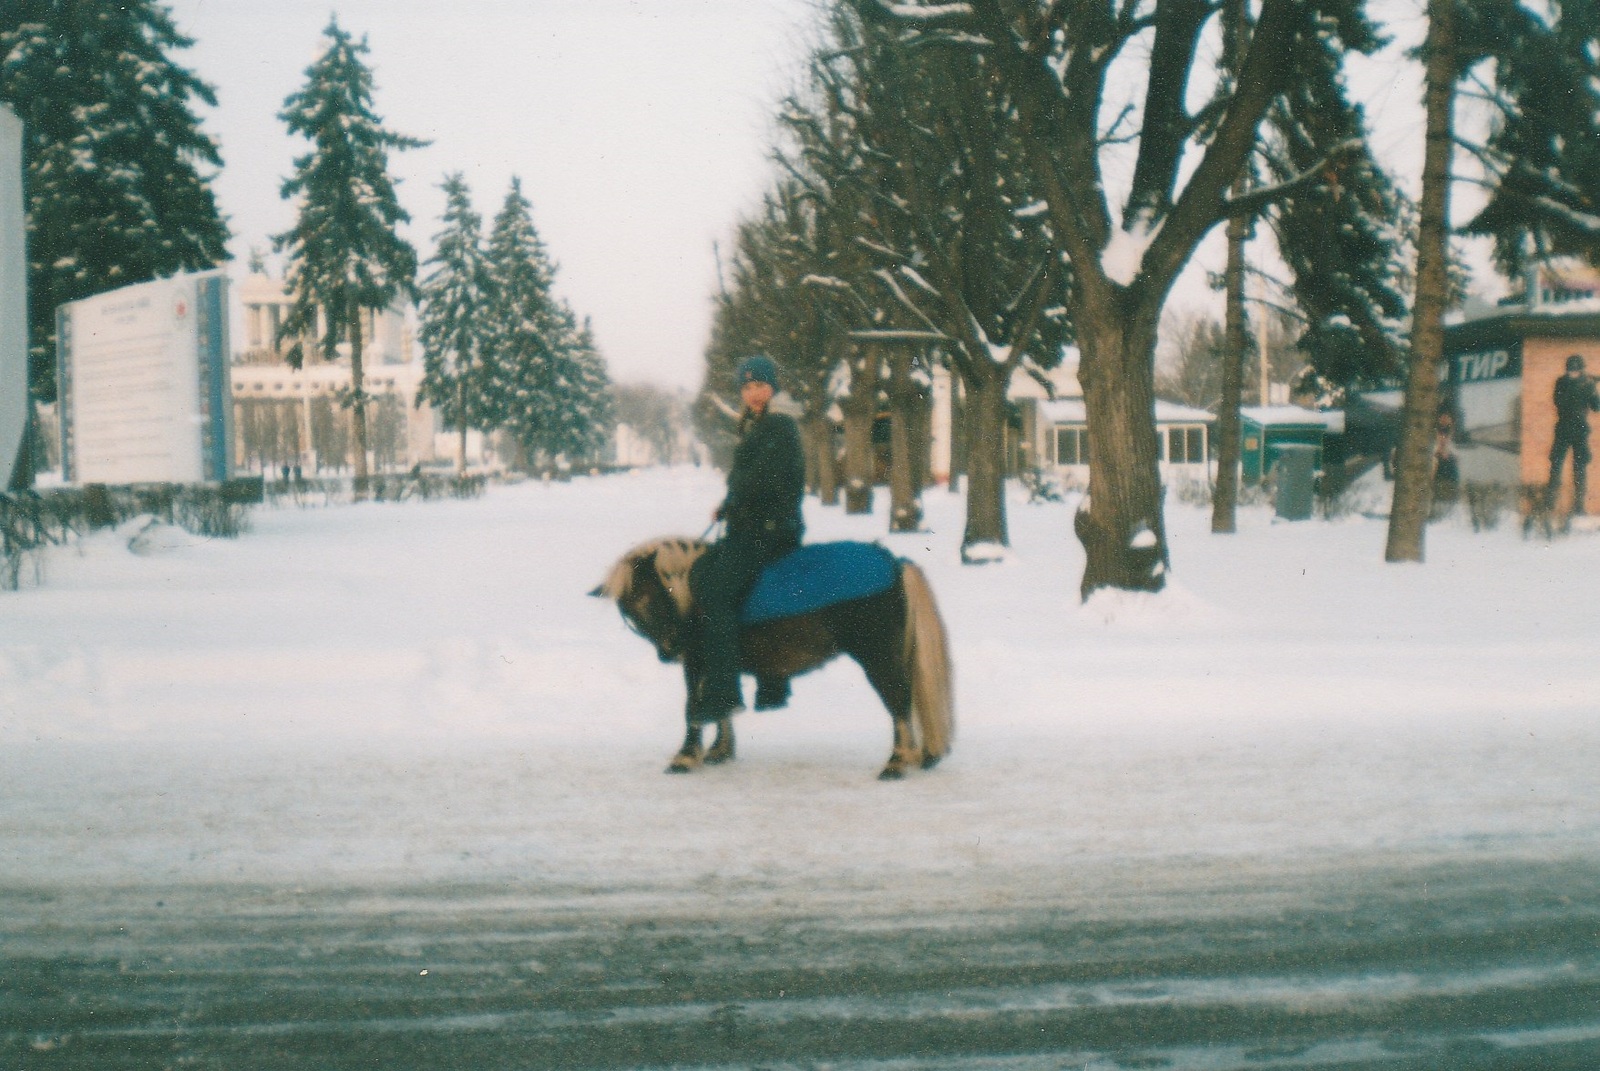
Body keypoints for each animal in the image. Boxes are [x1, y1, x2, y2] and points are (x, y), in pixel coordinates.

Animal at [598, 534, 947, 778]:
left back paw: (897, 762)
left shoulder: (698, 661)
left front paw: (685, 756)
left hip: (877, 655)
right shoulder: (714, 664)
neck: (694, 596)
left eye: (655, 594)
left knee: (898, 700)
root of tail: (893, 562)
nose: (669, 651)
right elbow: (718, 703)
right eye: (629, 609)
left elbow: (693, 707)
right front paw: (719, 750)